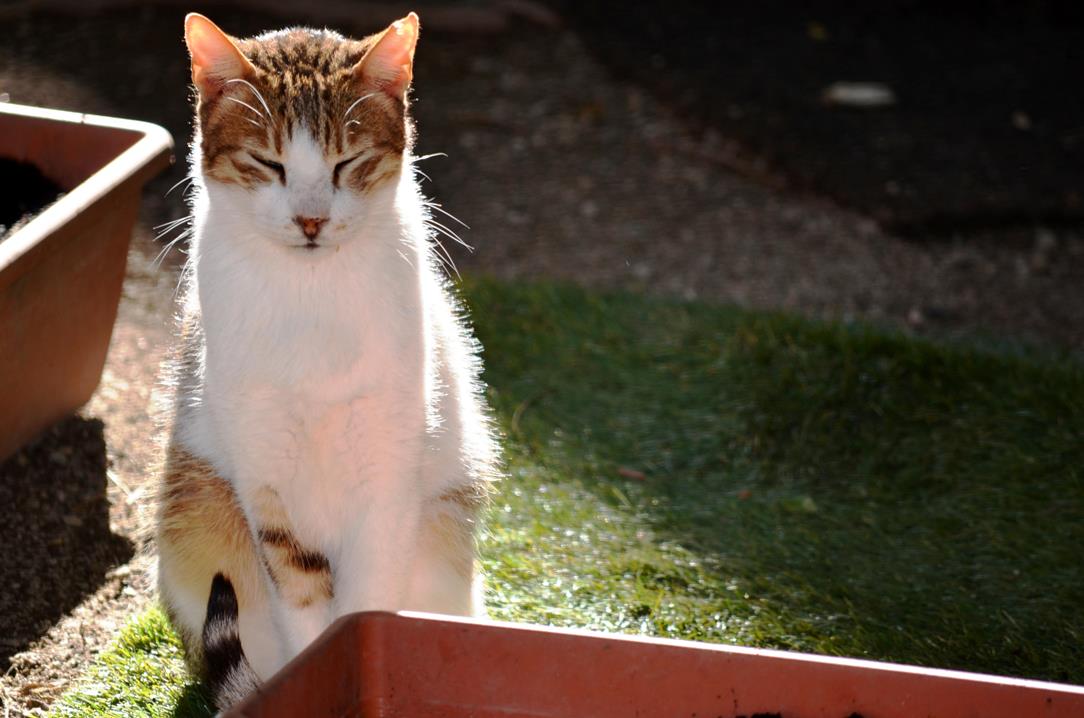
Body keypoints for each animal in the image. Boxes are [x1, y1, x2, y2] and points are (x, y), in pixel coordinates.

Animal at [156, 12, 499, 711]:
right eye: (268, 162)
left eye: (349, 162)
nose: (311, 220)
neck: (311, 297)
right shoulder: (267, 487)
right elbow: (305, 611)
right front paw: (315, 678)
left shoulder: (388, 473)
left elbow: (365, 608)